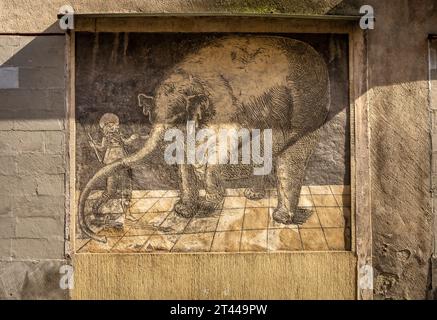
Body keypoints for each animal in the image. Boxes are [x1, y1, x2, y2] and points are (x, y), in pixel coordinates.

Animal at [79, 35, 330, 242]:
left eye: (177, 117)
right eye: (152, 117)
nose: (101, 237)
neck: (191, 82)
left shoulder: (228, 111)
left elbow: (219, 148)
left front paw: (208, 203)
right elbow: (182, 156)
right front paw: (183, 210)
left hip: (307, 114)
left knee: (290, 159)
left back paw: (280, 217)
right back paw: (253, 195)